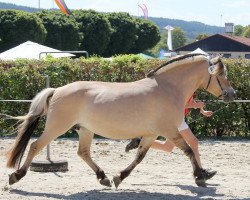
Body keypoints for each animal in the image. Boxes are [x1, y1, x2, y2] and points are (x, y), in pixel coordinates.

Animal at [3, 53, 235, 188]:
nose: (231, 94)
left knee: (83, 153)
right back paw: (16, 176)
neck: (168, 88)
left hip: (85, 129)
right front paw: (200, 177)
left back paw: (103, 178)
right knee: (35, 146)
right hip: (57, 127)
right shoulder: (170, 131)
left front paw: (119, 177)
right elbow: (188, 151)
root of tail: (57, 89)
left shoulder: (152, 134)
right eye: (221, 75)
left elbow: (139, 157)